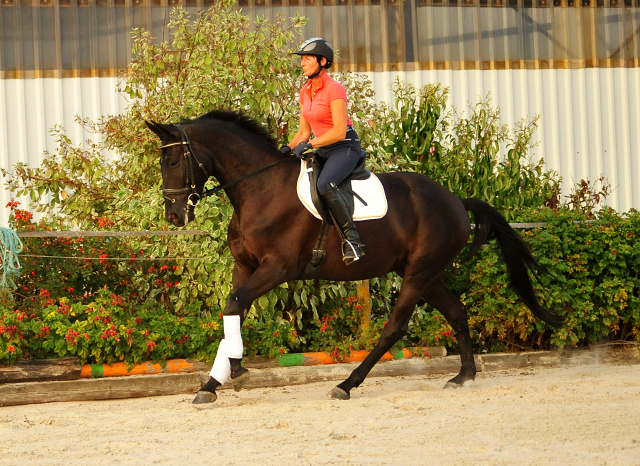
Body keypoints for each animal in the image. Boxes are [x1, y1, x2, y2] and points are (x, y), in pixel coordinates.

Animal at [148, 111, 564, 402]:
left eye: (173, 162)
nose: (174, 216)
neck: (260, 188)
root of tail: (456, 201)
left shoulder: (277, 268)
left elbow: (235, 305)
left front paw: (232, 373)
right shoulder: (245, 266)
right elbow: (232, 309)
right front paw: (215, 380)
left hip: (417, 273)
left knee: (394, 327)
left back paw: (347, 385)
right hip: (428, 274)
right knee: (457, 312)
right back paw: (464, 376)